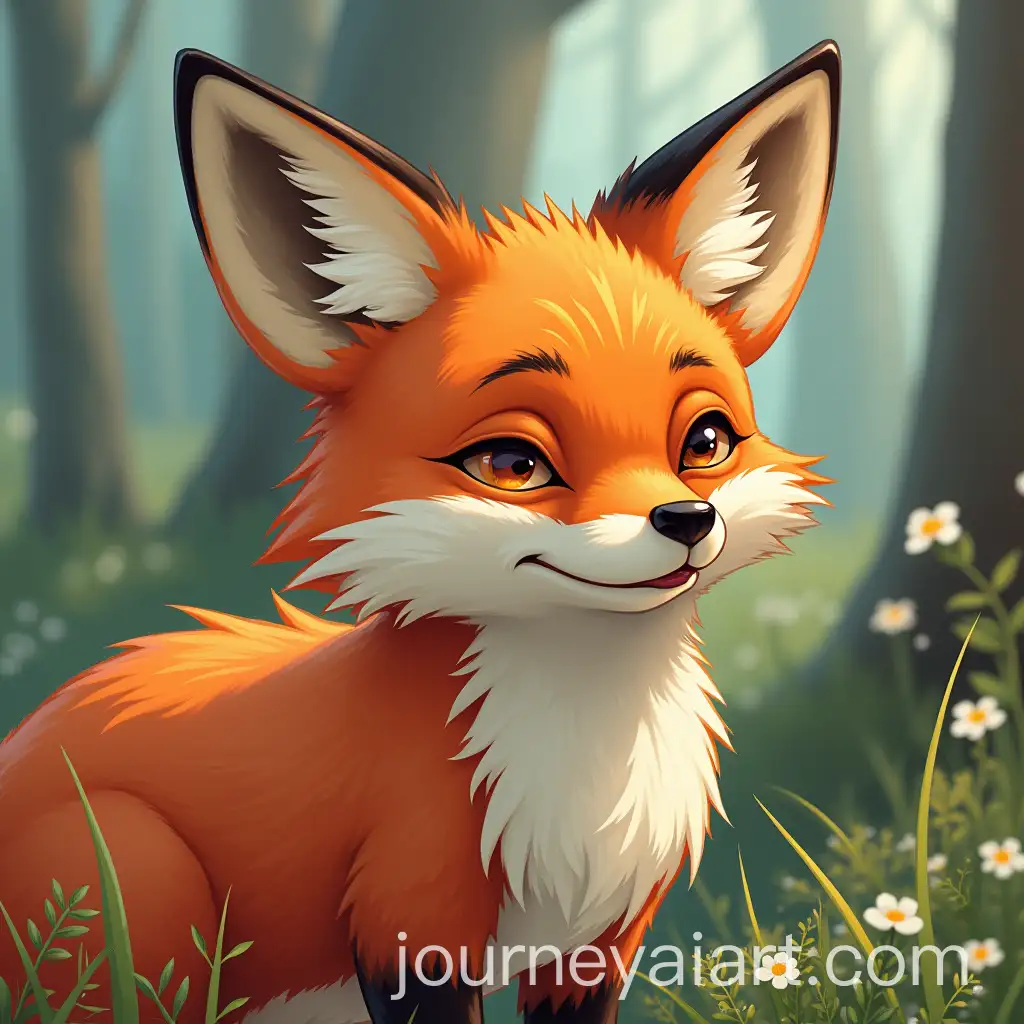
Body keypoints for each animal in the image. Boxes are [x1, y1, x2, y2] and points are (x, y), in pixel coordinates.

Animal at [0, 40, 840, 1024]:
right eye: (511, 463)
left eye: (705, 441)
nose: (685, 520)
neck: (583, 778)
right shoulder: (412, 924)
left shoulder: (598, 947)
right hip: (144, 896)